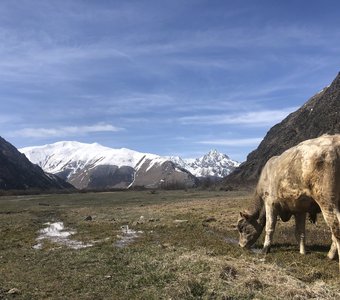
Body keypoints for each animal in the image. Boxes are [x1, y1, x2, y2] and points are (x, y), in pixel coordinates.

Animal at [238, 134, 340, 270]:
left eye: (242, 228)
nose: (240, 245)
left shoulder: (270, 203)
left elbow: (269, 228)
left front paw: (265, 249)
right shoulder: (300, 209)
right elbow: (300, 232)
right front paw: (302, 252)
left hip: (327, 201)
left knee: (336, 227)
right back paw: (330, 255)